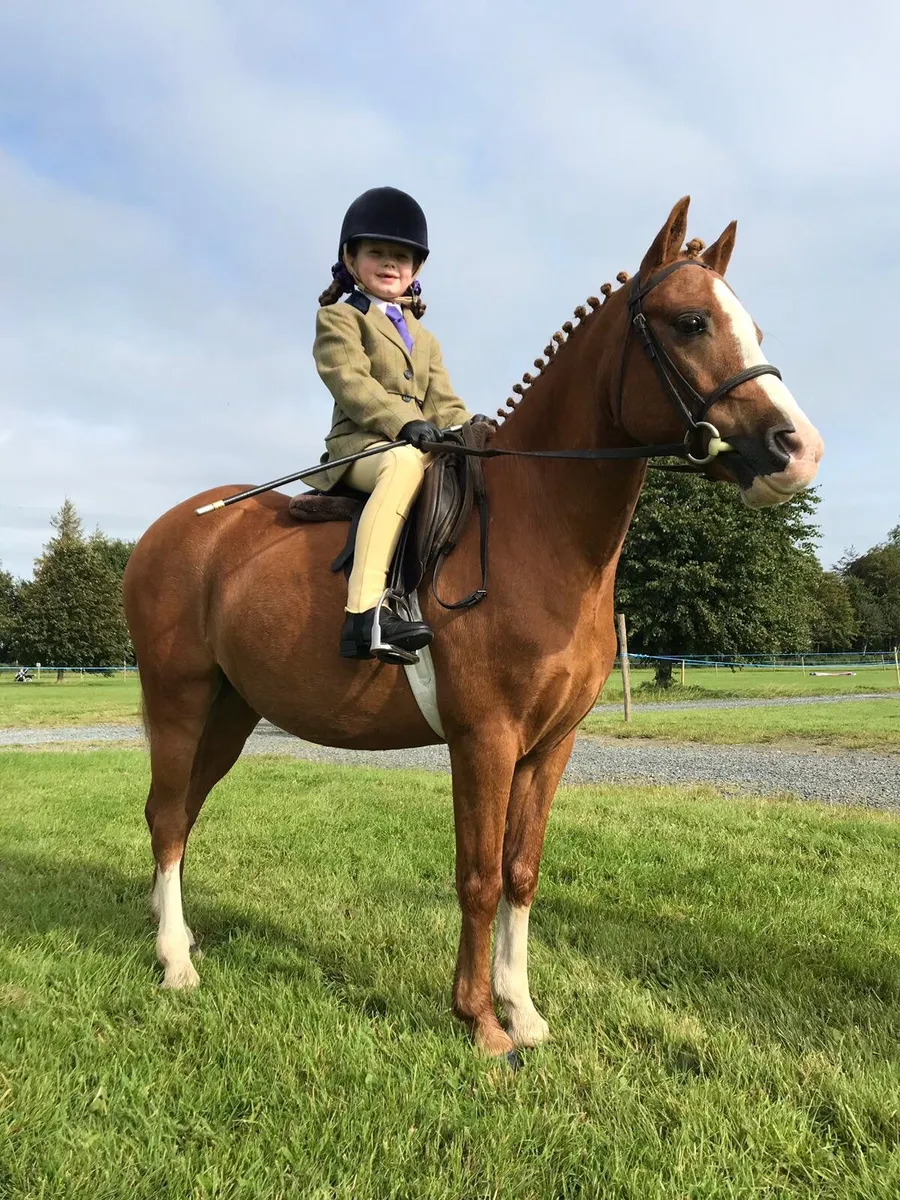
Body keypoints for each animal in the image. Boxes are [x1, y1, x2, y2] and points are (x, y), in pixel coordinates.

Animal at [123, 197, 824, 1058]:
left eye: (751, 325)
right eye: (691, 322)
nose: (798, 450)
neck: (539, 526)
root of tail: (171, 527)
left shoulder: (550, 745)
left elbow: (521, 871)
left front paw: (522, 1010)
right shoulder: (485, 737)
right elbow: (480, 874)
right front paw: (481, 1022)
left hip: (231, 710)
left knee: (181, 813)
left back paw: (176, 935)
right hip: (181, 699)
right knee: (166, 815)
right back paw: (174, 963)